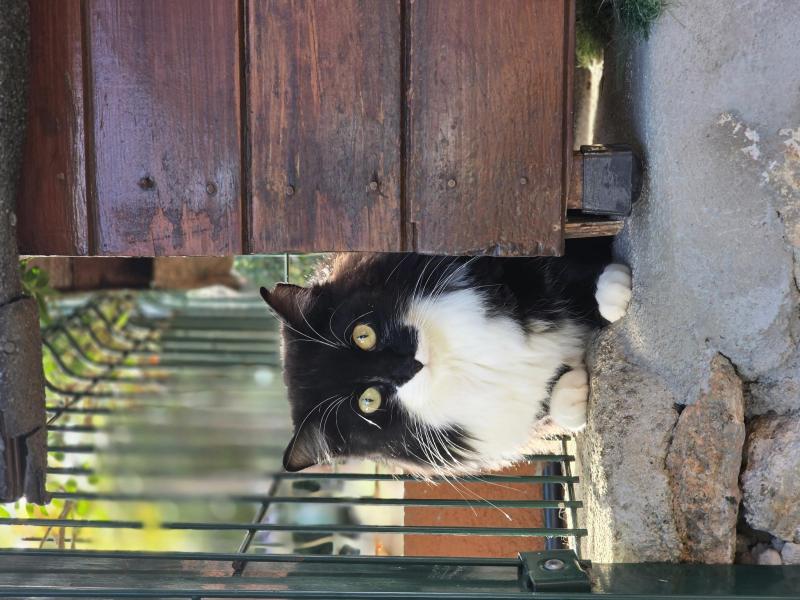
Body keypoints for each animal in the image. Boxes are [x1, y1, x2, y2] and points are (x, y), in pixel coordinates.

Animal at [260, 253, 631, 476]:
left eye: (362, 335)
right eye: (368, 401)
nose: (407, 366)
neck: (458, 359)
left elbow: (565, 273)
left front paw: (615, 291)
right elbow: (550, 408)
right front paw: (573, 396)